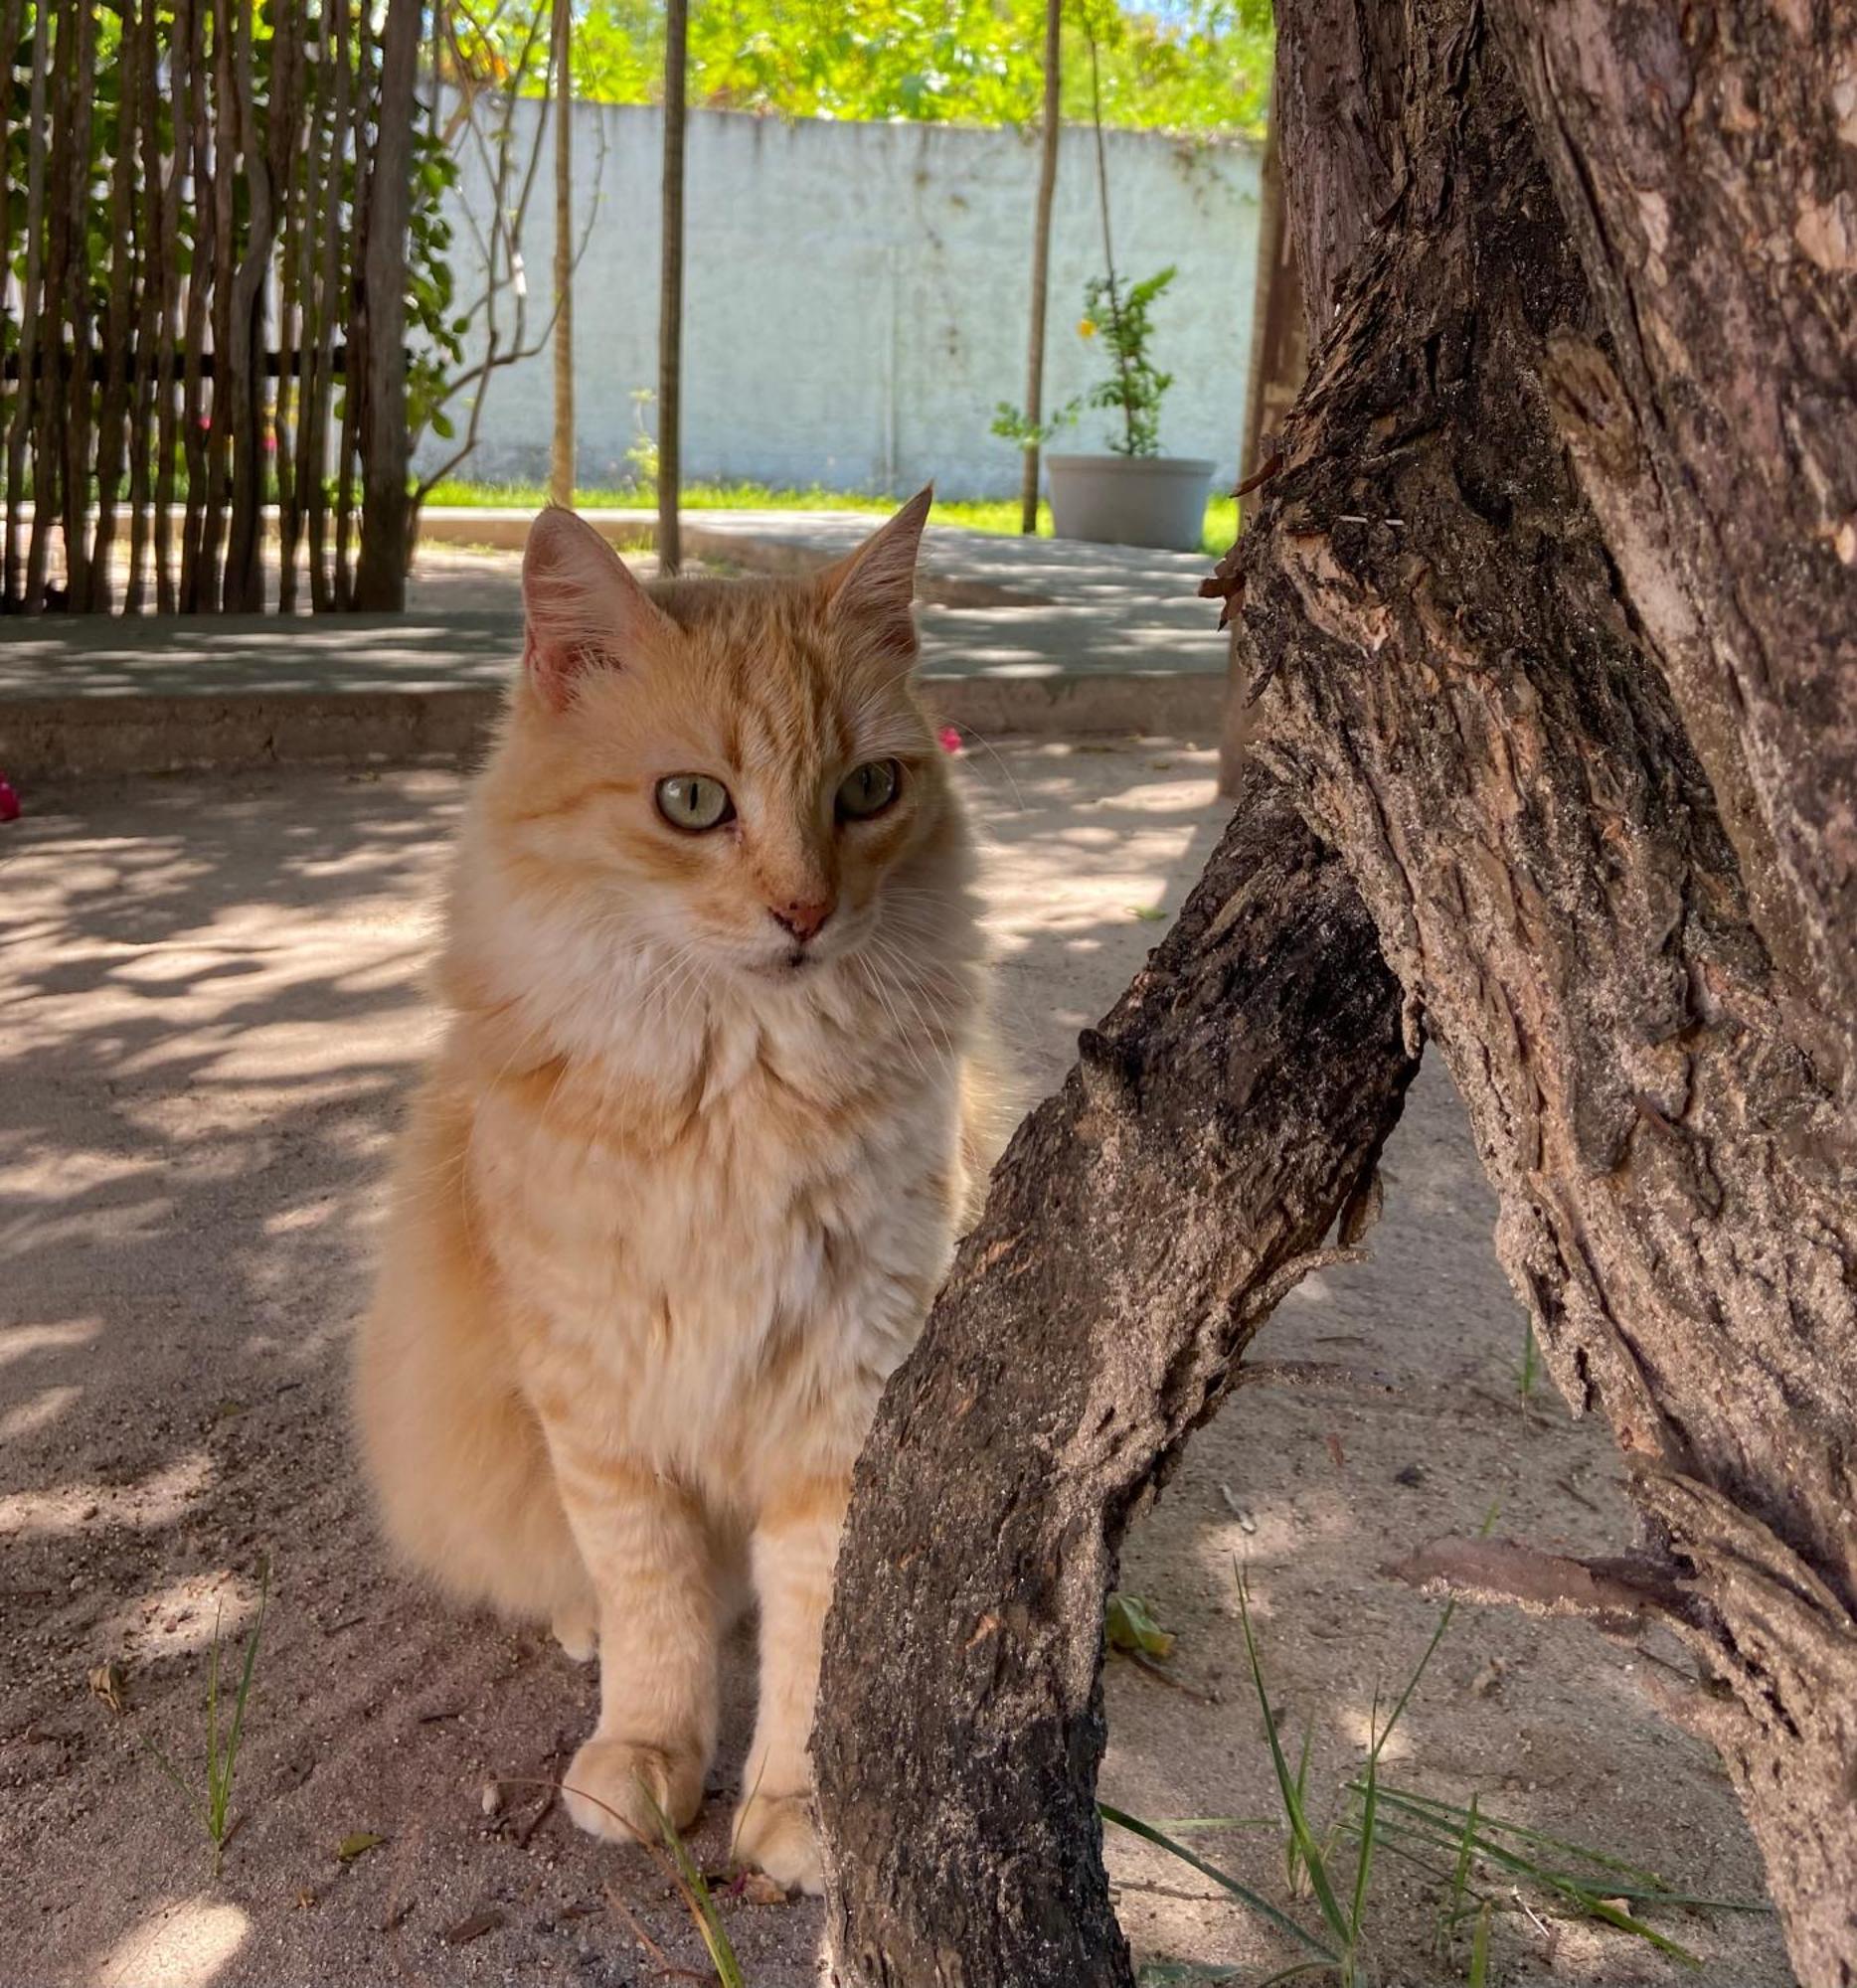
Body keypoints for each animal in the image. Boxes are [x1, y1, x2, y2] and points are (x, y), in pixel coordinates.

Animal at [360, 489, 1002, 1885]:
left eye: (867, 789)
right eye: (693, 800)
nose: (803, 912)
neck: (736, 1086)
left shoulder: (846, 1401)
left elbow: (813, 1640)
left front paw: (795, 1807)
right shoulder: (601, 1402)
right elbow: (653, 1600)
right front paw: (649, 1754)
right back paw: (582, 1625)